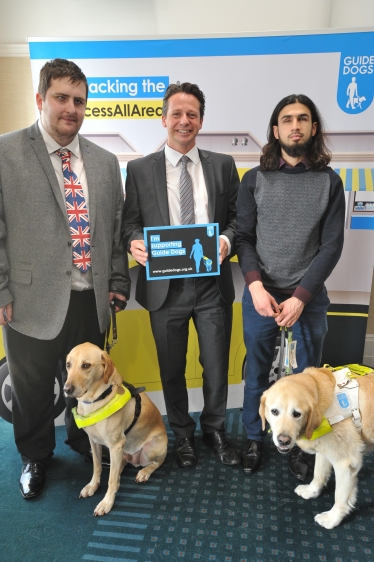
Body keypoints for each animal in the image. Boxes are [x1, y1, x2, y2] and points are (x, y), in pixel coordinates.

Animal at [64, 340, 168, 516]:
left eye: (86, 365)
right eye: (68, 365)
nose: (67, 389)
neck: (95, 399)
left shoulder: (116, 445)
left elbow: (111, 481)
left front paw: (106, 503)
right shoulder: (94, 442)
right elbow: (97, 466)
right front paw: (92, 486)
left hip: (149, 449)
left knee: (157, 462)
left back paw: (144, 473)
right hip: (122, 451)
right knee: (120, 465)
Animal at [258, 366, 374, 528]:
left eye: (297, 414)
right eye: (274, 411)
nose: (284, 441)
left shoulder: (345, 463)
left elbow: (340, 496)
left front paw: (333, 518)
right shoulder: (324, 449)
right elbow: (319, 473)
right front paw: (311, 490)